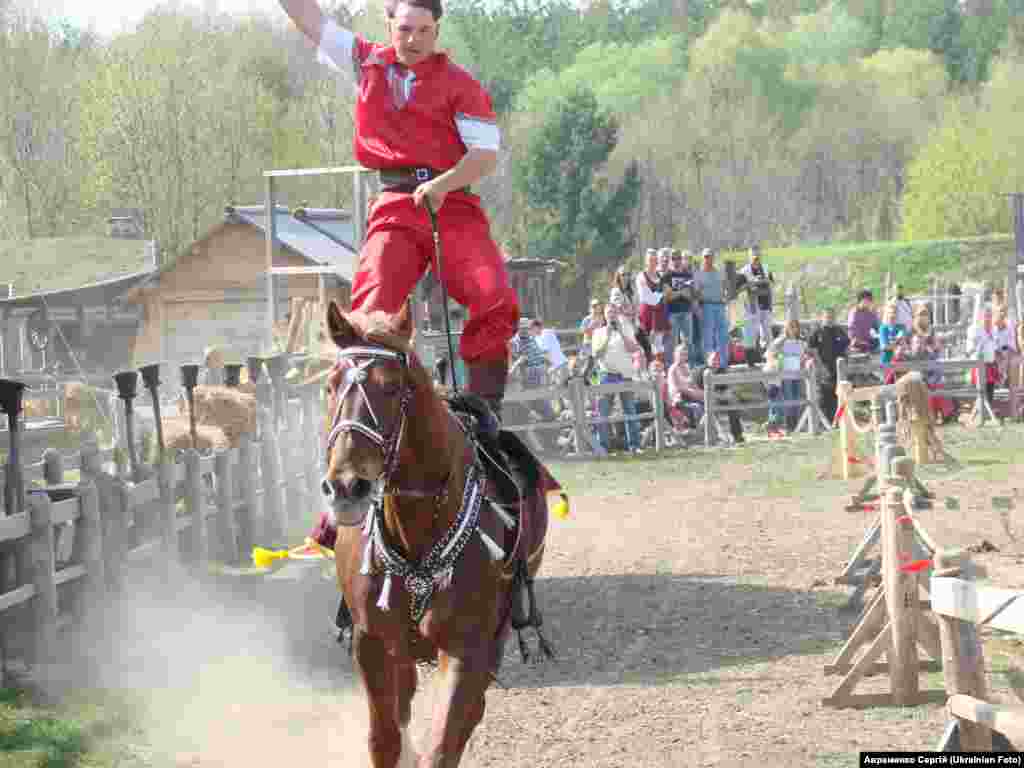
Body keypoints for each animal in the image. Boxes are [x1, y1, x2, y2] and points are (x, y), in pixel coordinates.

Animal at [323, 301, 557, 768]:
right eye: (330, 386)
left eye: (392, 387)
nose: (346, 486)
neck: (417, 532)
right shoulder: (371, 644)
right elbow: (385, 739)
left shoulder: (466, 650)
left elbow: (444, 742)